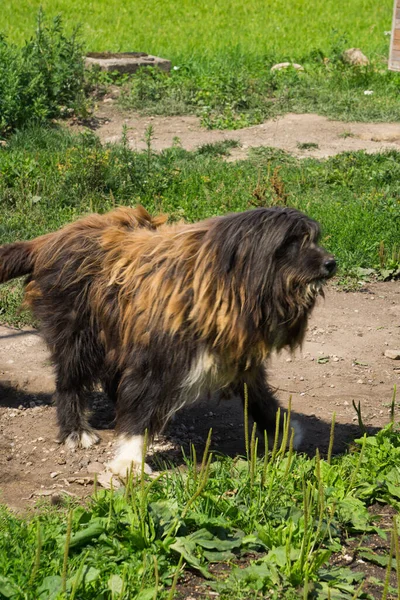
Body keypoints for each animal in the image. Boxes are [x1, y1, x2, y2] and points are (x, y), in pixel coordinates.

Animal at [0, 206, 336, 478]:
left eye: (312, 238)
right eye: (291, 242)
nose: (332, 263)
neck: (220, 283)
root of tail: (50, 240)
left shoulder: (237, 356)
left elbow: (258, 396)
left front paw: (282, 431)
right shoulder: (156, 357)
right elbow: (140, 403)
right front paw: (130, 459)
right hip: (80, 336)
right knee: (69, 382)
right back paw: (75, 430)